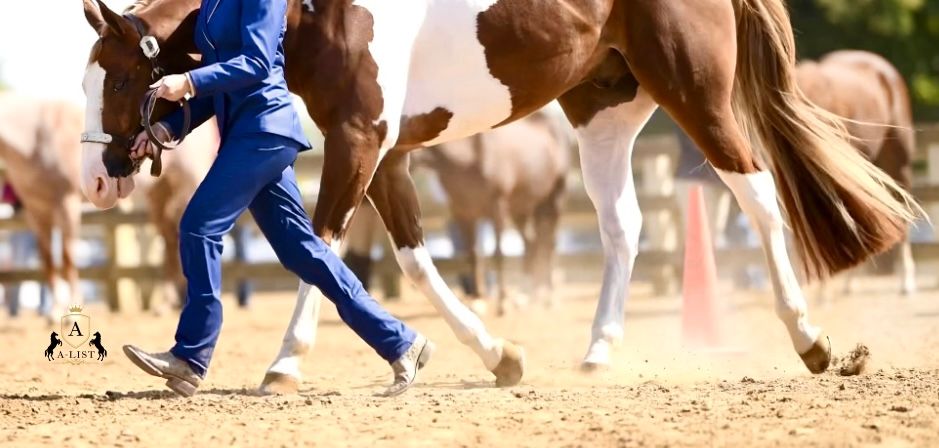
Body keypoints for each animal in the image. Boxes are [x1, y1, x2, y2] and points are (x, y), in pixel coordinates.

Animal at [0, 93, 84, 321]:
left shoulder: (69, 205)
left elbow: (68, 260)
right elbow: (48, 261)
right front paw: (54, 312)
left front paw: (73, 312)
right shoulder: (38, 211)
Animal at [412, 109, 571, 315]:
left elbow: (498, 254)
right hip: (521, 210)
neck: (469, 157)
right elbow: (473, 255)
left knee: (549, 244)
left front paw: (502, 302)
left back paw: (549, 297)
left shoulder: (497, 210)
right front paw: (478, 300)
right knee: (532, 244)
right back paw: (529, 294)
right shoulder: (463, 214)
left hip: (553, 201)